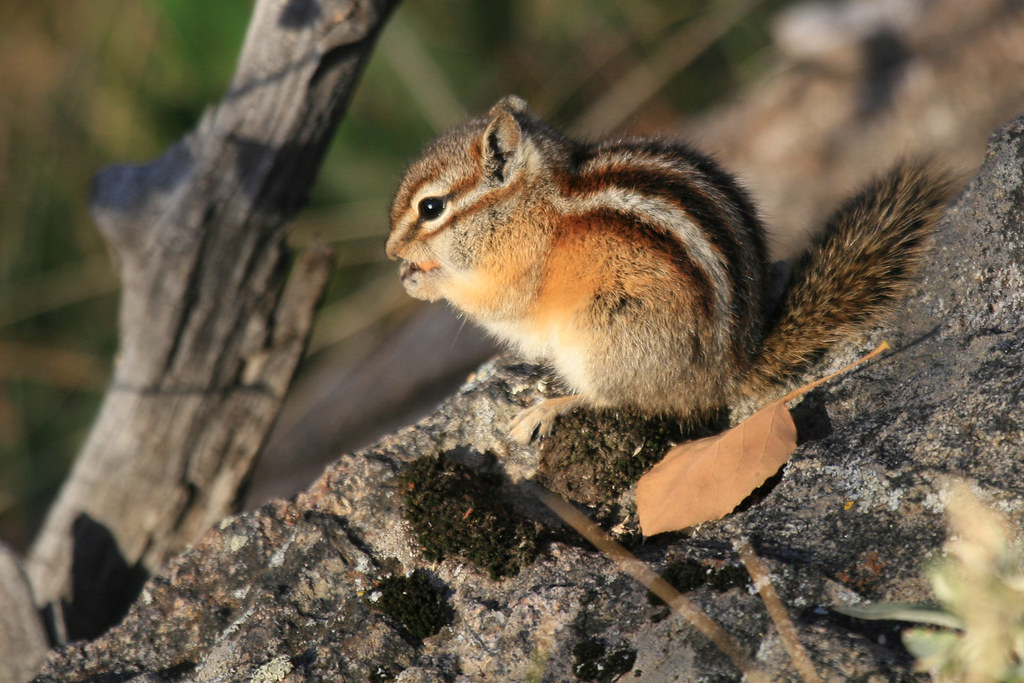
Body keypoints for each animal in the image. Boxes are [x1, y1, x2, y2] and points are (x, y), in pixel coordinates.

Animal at [386, 95, 953, 443]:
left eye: (431, 208)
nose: (391, 252)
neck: (535, 200)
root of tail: (727, 375)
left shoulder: (517, 267)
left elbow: (495, 301)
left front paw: (424, 280)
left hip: (606, 331)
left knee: (615, 400)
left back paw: (549, 407)